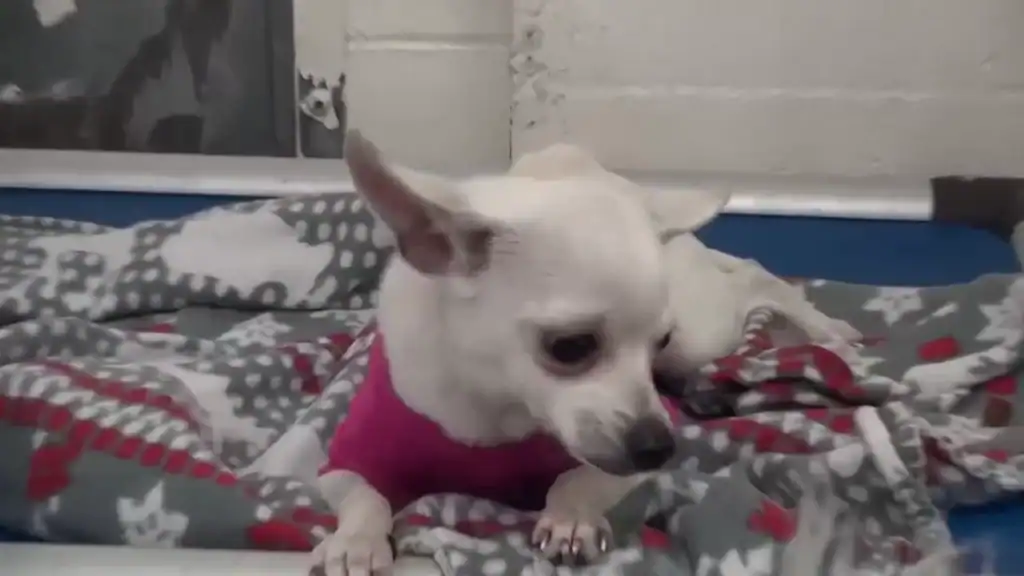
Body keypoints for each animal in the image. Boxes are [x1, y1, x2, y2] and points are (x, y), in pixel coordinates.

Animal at [309, 132, 730, 576]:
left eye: (659, 342)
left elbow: (578, 480)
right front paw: (355, 542)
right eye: (570, 347)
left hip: (699, 337)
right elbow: (364, 497)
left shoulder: (626, 470)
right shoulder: (346, 463)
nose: (657, 446)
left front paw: (570, 519)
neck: (494, 402)